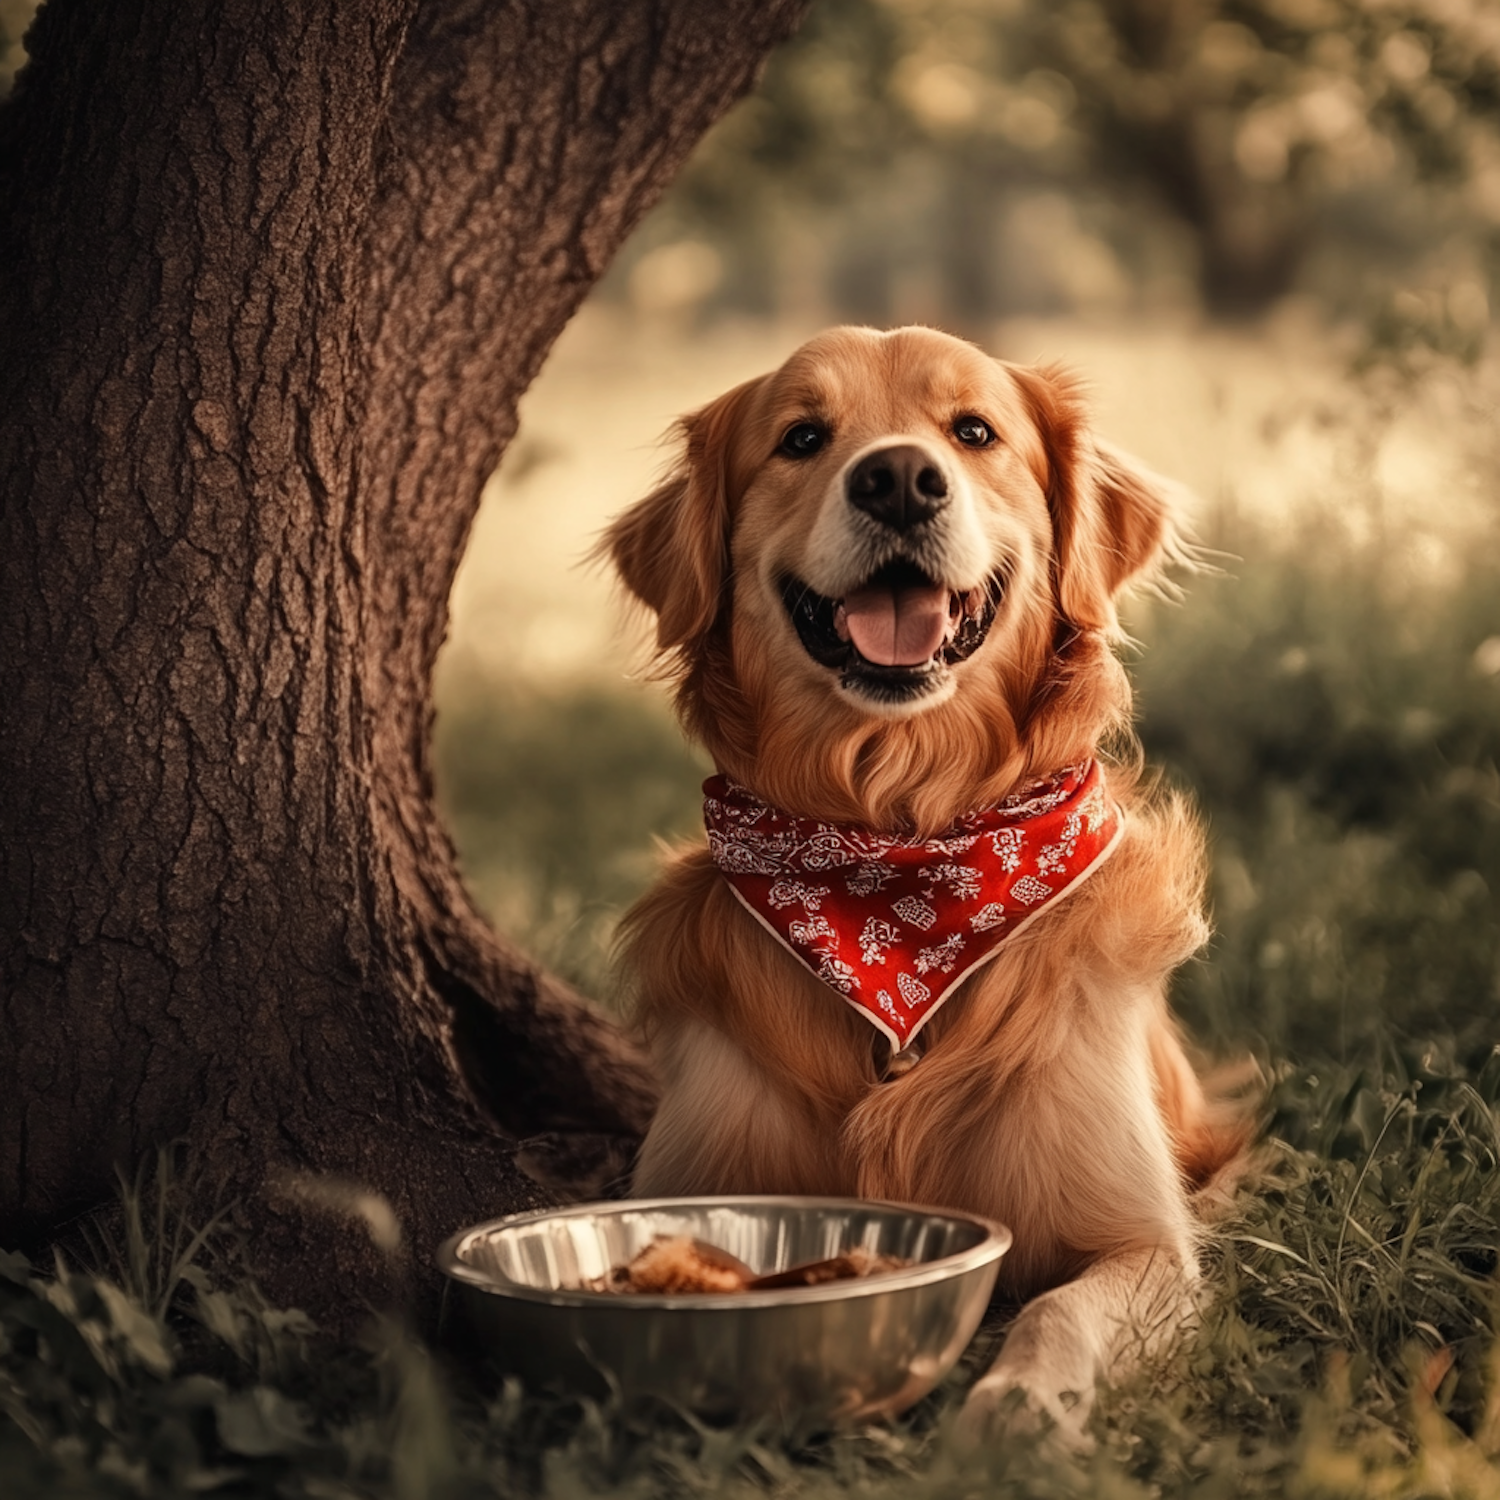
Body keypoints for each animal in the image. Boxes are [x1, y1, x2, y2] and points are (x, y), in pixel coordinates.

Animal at [597, 325, 1242, 1428]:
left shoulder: (1143, 1242)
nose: (898, 479)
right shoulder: (696, 1165)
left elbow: (1059, 1308)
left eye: (974, 431)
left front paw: (1017, 1409)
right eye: (801, 437)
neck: (896, 867)